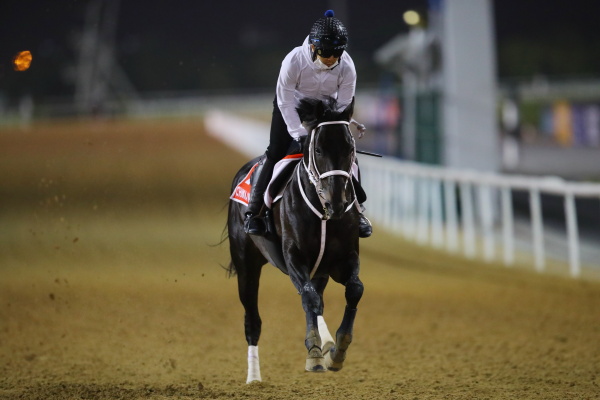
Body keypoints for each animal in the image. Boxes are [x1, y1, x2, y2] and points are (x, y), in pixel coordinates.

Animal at [226, 97, 364, 384]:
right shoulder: (294, 258)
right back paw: (253, 377)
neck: (322, 212)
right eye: (318, 150)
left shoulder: (344, 259)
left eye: (350, 149)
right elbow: (309, 298)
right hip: (246, 265)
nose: (337, 202)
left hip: (319, 270)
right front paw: (315, 353)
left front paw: (337, 350)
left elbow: (354, 290)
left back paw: (326, 340)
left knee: (318, 298)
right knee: (253, 320)